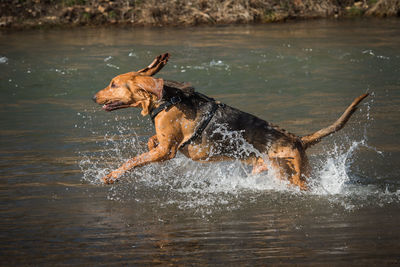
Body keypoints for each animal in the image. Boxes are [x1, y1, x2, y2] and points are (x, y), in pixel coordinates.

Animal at [93, 52, 368, 191]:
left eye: (113, 84)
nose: (94, 96)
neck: (168, 98)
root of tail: (298, 140)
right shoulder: (164, 145)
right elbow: (151, 142)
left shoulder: (166, 151)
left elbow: (131, 162)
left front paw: (111, 176)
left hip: (292, 175)